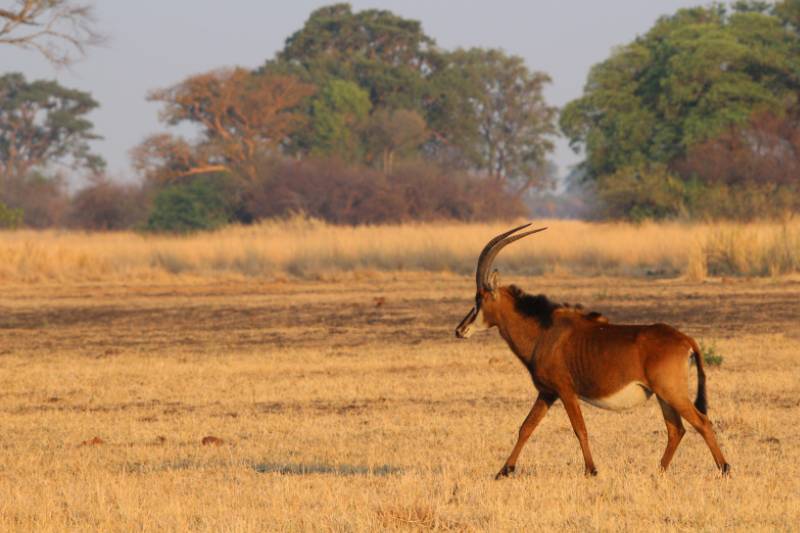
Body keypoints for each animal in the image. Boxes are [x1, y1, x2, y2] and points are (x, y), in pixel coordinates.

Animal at [454, 222, 728, 476]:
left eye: (479, 299)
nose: (460, 330)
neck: (543, 331)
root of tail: (685, 339)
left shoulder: (565, 390)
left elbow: (579, 428)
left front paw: (591, 470)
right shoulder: (547, 392)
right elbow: (526, 427)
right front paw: (504, 470)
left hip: (671, 391)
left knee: (702, 422)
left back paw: (724, 468)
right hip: (663, 394)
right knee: (676, 429)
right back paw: (658, 471)